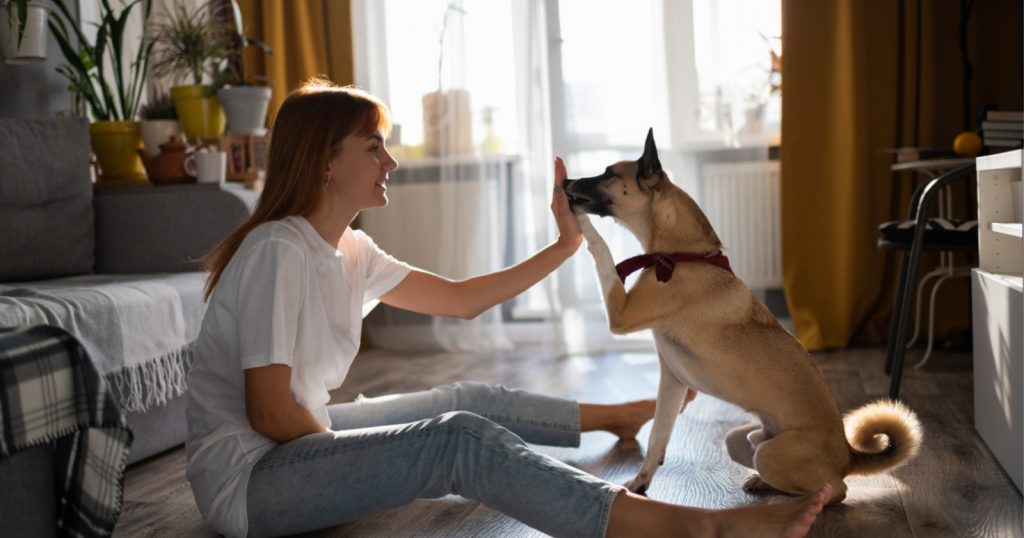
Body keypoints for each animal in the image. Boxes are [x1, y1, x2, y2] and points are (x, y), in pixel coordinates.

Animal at [565, 128, 925, 502]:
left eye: (608, 173)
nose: (565, 183)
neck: (682, 254)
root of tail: (847, 455)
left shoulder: (620, 314)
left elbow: (602, 250)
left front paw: (578, 220)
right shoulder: (672, 381)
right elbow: (656, 439)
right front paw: (640, 484)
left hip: (773, 455)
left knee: (835, 489)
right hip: (740, 439)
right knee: (757, 452)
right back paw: (761, 481)